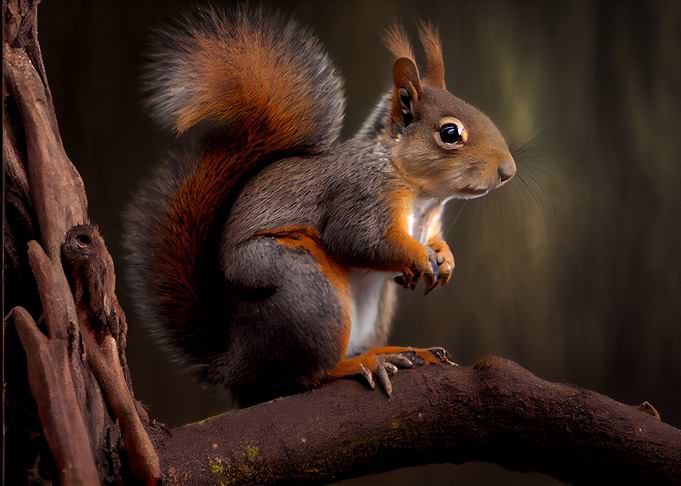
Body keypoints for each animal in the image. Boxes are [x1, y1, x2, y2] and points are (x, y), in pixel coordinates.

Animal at [123, 5, 515, 406]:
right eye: (450, 133)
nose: (508, 171)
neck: (422, 193)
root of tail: (236, 365)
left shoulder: (429, 220)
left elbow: (433, 242)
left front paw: (444, 259)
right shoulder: (358, 195)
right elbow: (360, 240)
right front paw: (420, 257)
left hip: (373, 308)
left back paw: (398, 352)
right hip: (305, 292)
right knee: (304, 376)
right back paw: (364, 364)